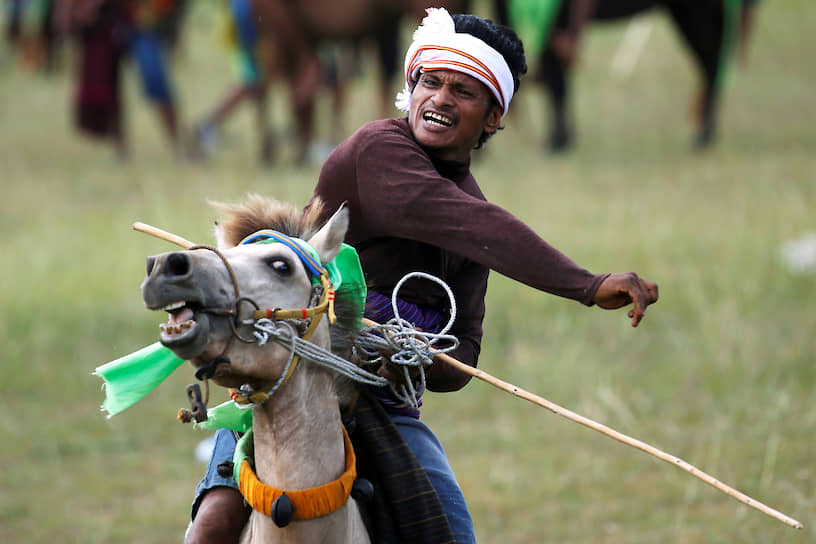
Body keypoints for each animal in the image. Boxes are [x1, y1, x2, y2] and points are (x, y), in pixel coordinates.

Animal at [516, 0, 752, 151]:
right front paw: (563, 138)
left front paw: (558, 142)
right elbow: (558, 81)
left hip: (698, 13)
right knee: (711, 65)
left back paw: (703, 136)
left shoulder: (556, 23)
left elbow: (557, 83)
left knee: (712, 64)